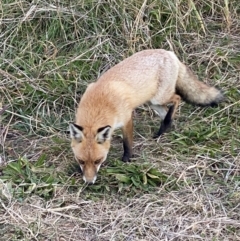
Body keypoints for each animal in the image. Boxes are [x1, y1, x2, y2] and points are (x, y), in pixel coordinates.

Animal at [69, 50, 223, 184]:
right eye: (81, 161)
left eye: (98, 161)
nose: (89, 182)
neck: (98, 106)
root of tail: (169, 52)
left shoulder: (126, 119)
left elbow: (127, 143)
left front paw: (126, 160)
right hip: (153, 103)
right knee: (167, 111)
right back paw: (165, 128)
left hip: (159, 98)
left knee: (177, 98)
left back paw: (164, 127)